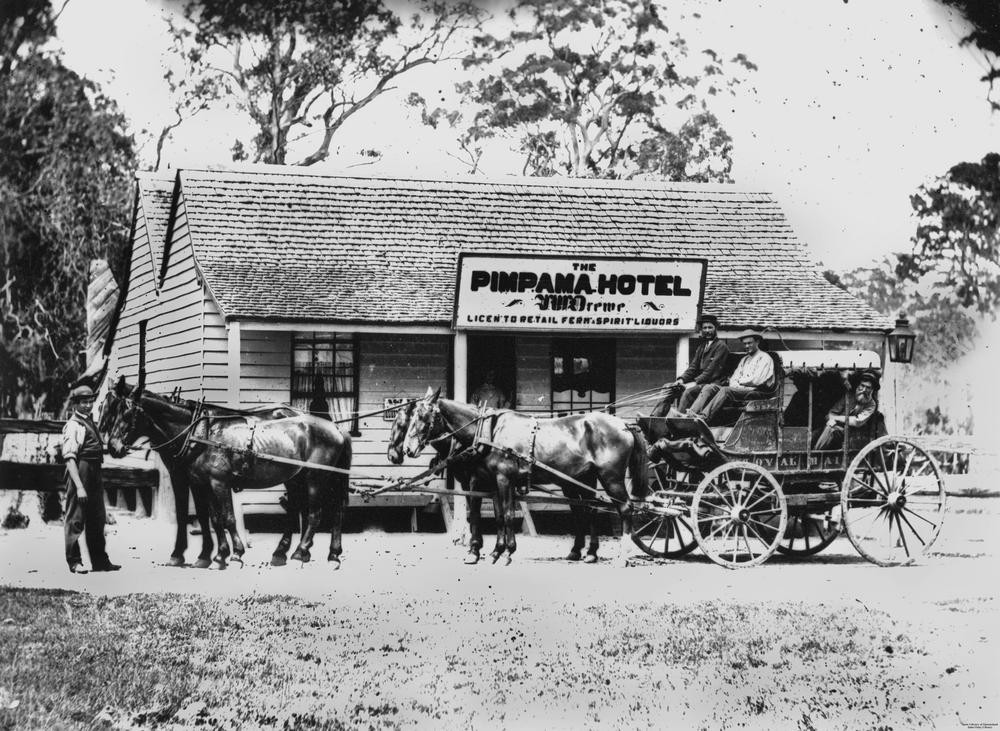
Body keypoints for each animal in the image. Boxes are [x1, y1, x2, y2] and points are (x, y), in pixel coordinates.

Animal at [101, 378, 352, 572]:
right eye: (112, 409)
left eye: (128, 413)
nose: (112, 446)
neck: (198, 434)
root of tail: (337, 428)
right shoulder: (200, 482)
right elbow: (211, 518)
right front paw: (214, 555)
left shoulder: (217, 482)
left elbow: (227, 518)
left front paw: (233, 554)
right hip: (300, 478)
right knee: (325, 510)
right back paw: (318, 554)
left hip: (316, 477)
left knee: (316, 514)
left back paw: (301, 552)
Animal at [404, 388, 648, 568]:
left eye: (423, 416)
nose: (407, 449)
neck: (489, 432)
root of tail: (624, 424)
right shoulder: (494, 482)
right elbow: (499, 516)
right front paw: (496, 551)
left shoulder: (502, 479)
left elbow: (507, 515)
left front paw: (505, 552)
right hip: (585, 478)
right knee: (587, 510)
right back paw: (588, 552)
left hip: (611, 477)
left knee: (625, 509)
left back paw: (623, 555)